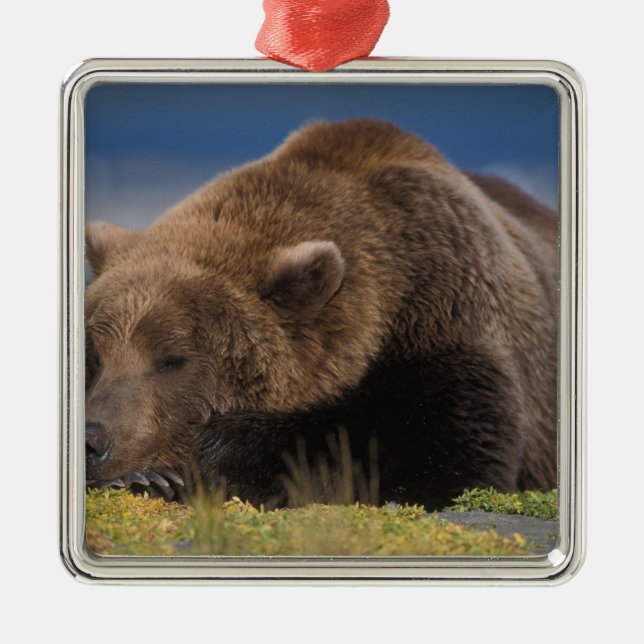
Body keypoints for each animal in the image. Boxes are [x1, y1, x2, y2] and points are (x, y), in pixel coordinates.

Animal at [84, 119, 558, 510]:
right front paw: (149, 477)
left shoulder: (449, 311)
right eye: (96, 356)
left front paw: (205, 458)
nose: (93, 439)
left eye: (172, 359)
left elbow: (440, 446)